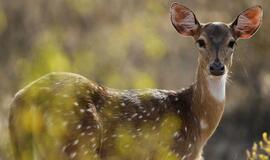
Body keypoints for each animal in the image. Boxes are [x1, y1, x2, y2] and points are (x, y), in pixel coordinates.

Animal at [8, 2, 262, 160]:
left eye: (232, 42)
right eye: (200, 41)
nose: (217, 67)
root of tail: (20, 101)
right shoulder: (174, 152)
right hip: (75, 144)